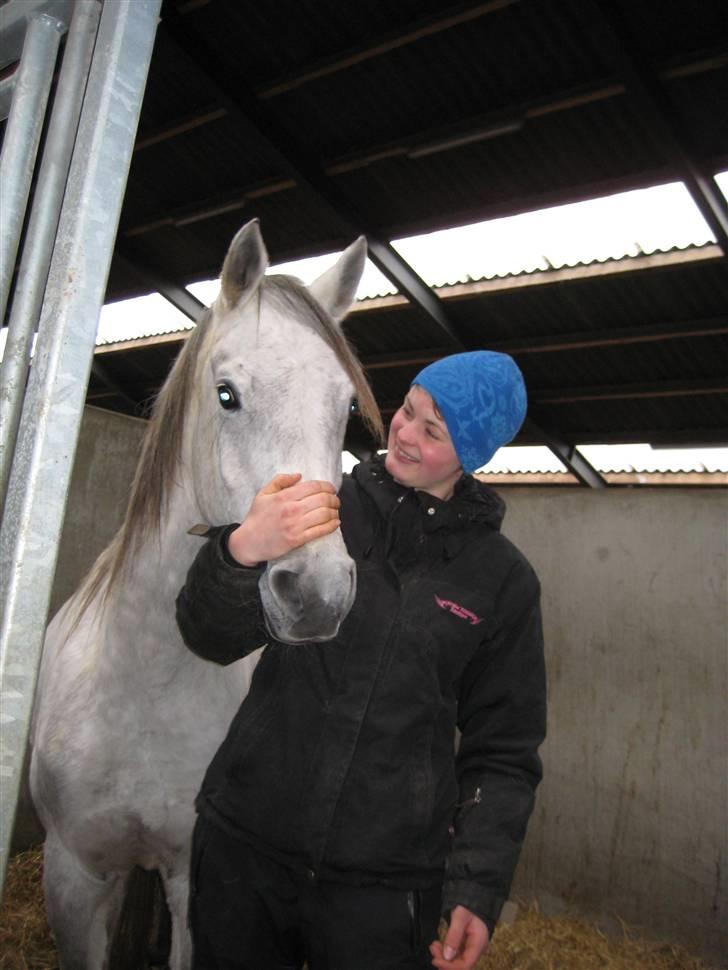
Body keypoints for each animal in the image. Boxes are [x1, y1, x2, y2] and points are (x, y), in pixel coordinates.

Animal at [28, 221, 382, 968]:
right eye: (226, 395)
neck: (149, 678)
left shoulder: (197, 880)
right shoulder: (72, 876)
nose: (317, 594)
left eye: (344, 406)